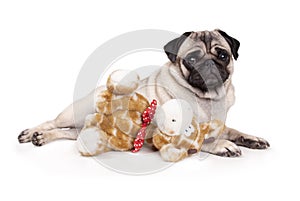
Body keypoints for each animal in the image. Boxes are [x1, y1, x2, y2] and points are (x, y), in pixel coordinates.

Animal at [18, 29, 270, 157]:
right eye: (191, 60)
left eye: (223, 56)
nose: (208, 64)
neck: (206, 98)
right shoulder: (167, 133)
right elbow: (198, 139)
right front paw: (221, 145)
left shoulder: (219, 125)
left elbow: (232, 130)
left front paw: (250, 138)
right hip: (76, 112)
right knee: (54, 122)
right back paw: (32, 133)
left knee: (68, 133)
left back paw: (41, 138)